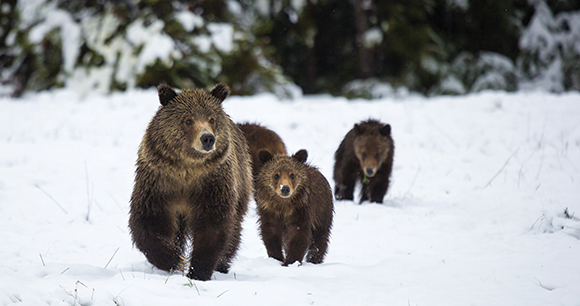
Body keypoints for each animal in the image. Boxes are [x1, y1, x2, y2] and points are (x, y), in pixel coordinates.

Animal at [129, 82, 251, 280]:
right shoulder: (159, 183)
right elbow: (149, 221)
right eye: (188, 120)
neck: (187, 169)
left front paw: (198, 270)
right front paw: (173, 259)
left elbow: (212, 226)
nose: (207, 138)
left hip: (241, 181)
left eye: (211, 119)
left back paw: (223, 264)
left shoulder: (212, 184)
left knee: (234, 228)